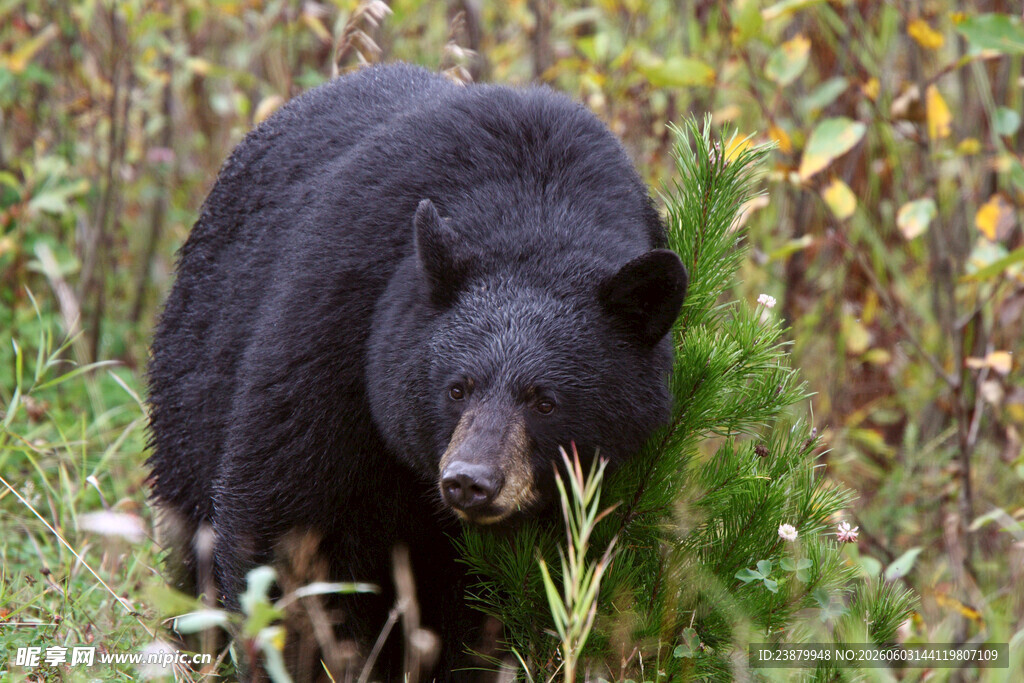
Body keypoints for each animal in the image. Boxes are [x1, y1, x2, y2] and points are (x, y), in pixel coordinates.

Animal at [146, 63, 687, 679]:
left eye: (545, 400)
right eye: (457, 388)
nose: (470, 480)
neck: (538, 212)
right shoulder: (337, 330)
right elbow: (286, 525)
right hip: (194, 382)